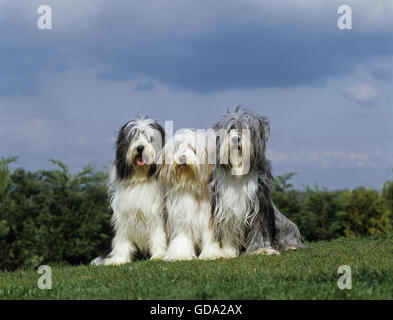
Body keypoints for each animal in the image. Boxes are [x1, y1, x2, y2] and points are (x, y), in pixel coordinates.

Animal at [91, 117, 166, 264]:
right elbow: (122, 239)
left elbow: (158, 234)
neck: (141, 179)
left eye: (150, 139)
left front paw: (159, 255)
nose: (140, 148)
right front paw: (119, 259)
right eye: (134, 137)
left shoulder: (156, 215)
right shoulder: (125, 215)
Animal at [157, 128, 222, 260]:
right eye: (177, 148)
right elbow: (182, 237)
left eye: (192, 148)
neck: (189, 184)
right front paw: (180, 254)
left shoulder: (207, 217)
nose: (182, 158)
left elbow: (208, 235)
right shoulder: (181, 217)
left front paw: (211, 253)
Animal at [208, 107, 304, 258]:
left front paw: (261, 249)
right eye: (231, 129)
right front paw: (226, 251)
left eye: (246, 129)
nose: (235, 139)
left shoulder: (259, 204)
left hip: (282, 221)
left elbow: (259, 228)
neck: (239, 171)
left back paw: (291, 246)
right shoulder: (225, 207)